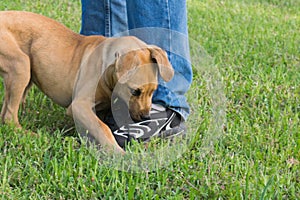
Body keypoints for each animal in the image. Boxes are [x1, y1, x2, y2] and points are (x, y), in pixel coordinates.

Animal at [0, 10, 173, 154]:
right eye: (135, 91)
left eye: (153, 91)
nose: (146, 117)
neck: (107, 71)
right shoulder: (79, 106)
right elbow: (102, 128)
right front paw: (118, 153)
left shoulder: (100, 109)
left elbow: (97, 126)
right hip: (21, 66)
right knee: (9, 117)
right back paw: (32, 135)